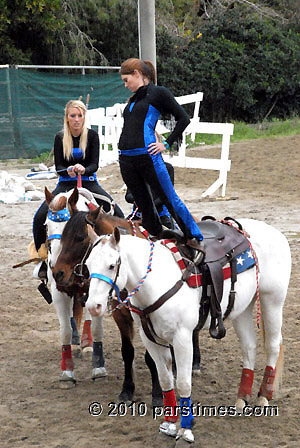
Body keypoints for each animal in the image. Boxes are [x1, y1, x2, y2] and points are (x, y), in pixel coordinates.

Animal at [44, 186, 106, 384]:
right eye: (46, 226)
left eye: (66, 227)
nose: (55, 268)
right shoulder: (59, 291)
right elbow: (64, 330)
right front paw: (67, 372)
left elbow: (97, 327)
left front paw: (98, 368)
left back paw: (86, 343)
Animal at [84, 219, 290, 442]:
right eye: (88, 265)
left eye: (112, 265)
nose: (93, 306)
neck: (157, 281)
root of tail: (273, 231)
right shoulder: (151, 339)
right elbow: (166, 380)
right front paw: (169, 424)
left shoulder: (182, 338)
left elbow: (183, 383)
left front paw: (186, 430)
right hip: (242, 308)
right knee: (249, 347)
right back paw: (241, 399)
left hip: (272, 299)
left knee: (272, 345)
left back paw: (263, 396)